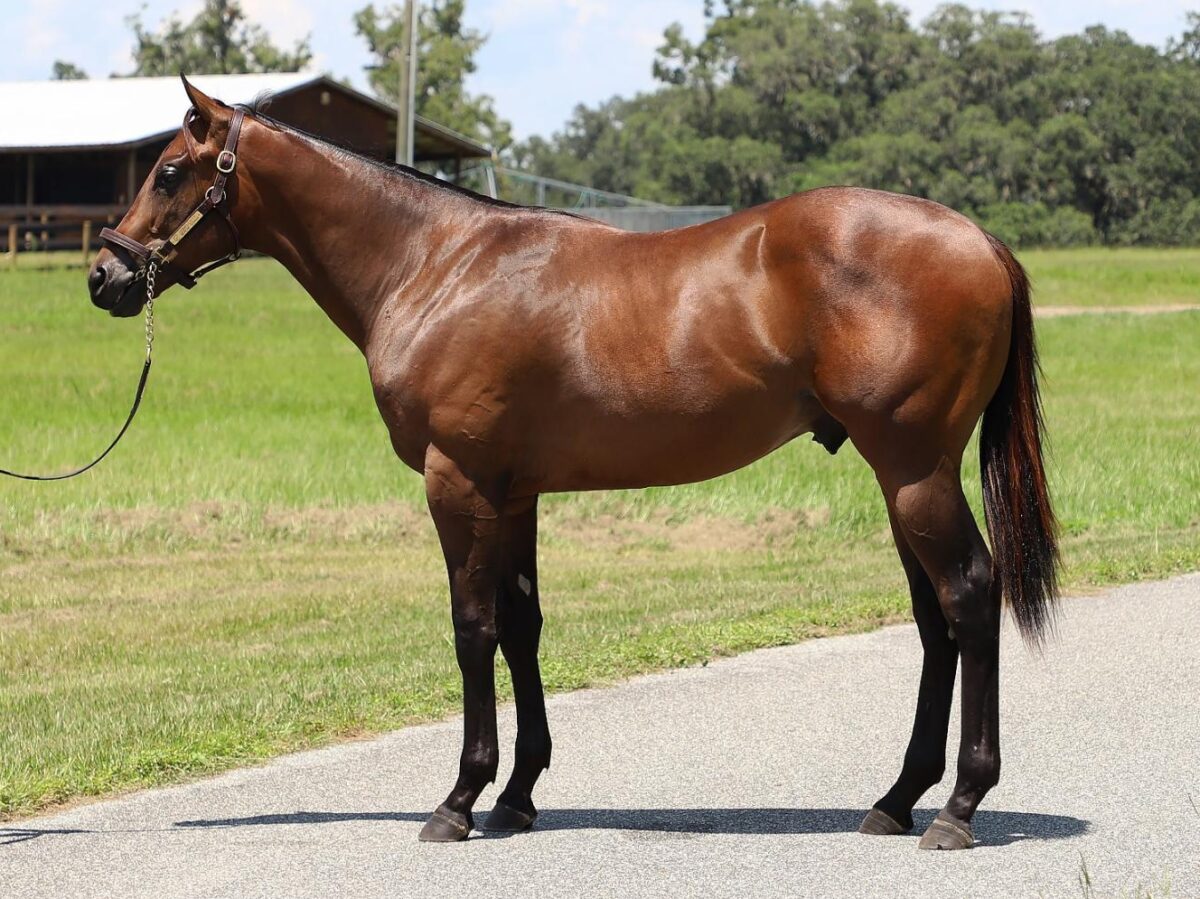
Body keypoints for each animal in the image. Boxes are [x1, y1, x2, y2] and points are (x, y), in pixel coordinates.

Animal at [87, 78, 1060, 849]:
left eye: (168, 171)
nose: (105, 276)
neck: (435, 265)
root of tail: (980, 240)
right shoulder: (514, 494)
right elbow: (523, 627)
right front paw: (517, 795)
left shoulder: (459, 484)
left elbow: (472, 628)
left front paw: (459, 798)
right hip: (900, 478)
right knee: (935, 619)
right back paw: (896, 799)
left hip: (915, 471)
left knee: (970, 596)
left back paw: (958, 807)